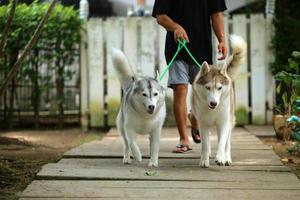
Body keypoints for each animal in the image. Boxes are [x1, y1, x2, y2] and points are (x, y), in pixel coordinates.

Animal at [192, 35, 246, 168]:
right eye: (207, 87)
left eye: (219, 88)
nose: (213, 103)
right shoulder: (203, 124)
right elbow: (205, 144)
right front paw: (204, 160)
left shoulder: (224, 122)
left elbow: (222, 142)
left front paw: (220, 158)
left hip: (230, 120)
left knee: (227, 143)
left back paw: (227, 158)